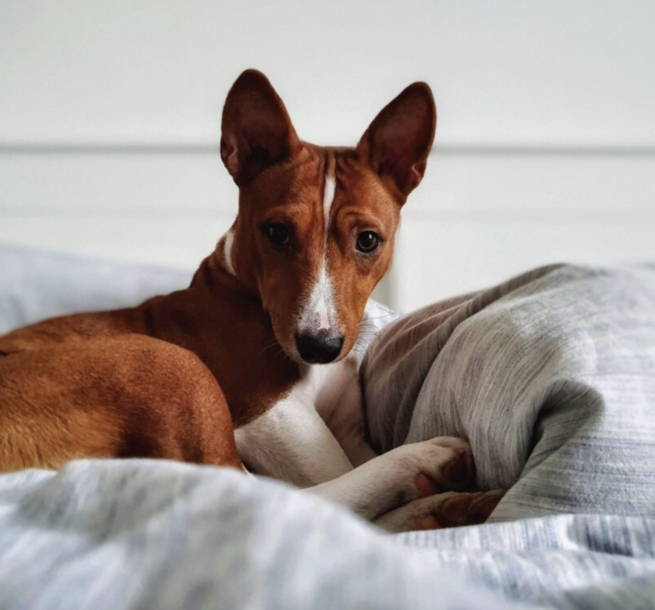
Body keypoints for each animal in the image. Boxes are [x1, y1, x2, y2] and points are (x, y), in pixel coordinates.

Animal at [0, 70, 502, 528]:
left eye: (368, 241)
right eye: (277, 232)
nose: (319, 346)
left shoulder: (347, 429)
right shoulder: (267, 411)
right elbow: (326, 485)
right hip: (169, 366)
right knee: (271, 496)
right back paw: (425, 471)